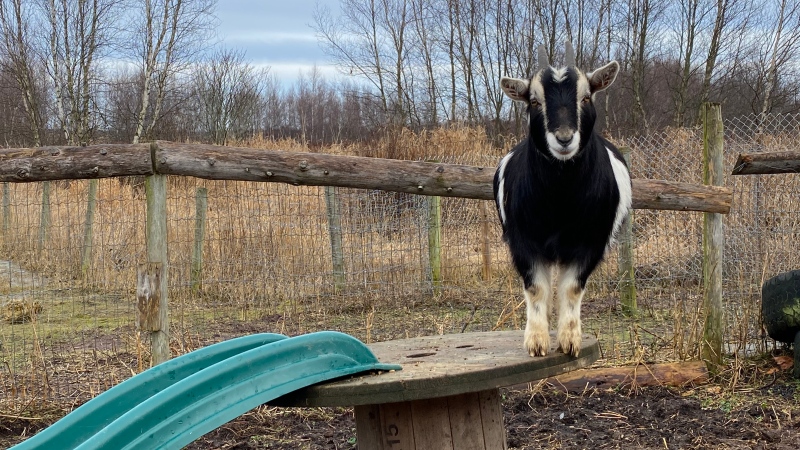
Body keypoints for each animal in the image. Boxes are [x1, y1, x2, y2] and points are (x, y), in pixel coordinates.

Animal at [494, 44, 632, 356]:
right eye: (534, 101)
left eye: (586, 97)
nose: (565, 138)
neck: (561, 197)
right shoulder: (523, 241)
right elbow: (536, 288)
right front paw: (536, 341)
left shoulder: (590, 242)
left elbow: (571, 288)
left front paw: (570, 340)